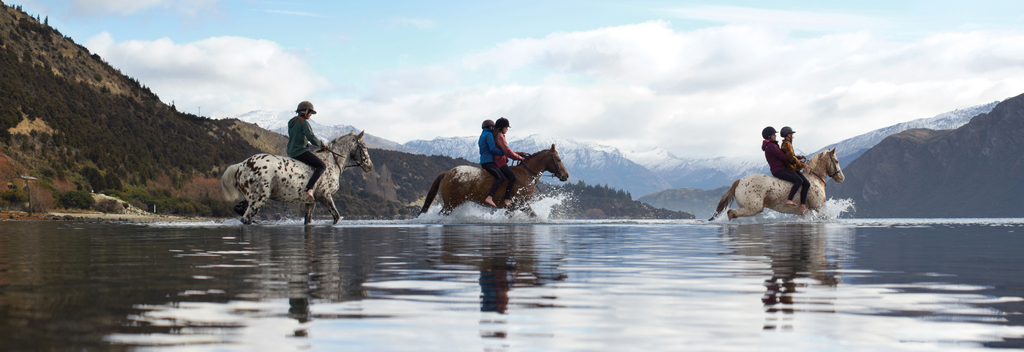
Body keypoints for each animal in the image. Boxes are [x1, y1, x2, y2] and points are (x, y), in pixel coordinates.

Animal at [222, 130, 374, 224]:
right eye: (363, 147)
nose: (369, 166)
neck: (332, 162)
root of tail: (241, 165)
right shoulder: (325, 196)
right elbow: (336, 217)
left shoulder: (311, 201)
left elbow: (308, 221)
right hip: (258, 199)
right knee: (246, 218)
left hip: (249, 197)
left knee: (239, 211)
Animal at [419, 143, 573, 215]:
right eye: (558, 159)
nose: (566, 175)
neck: (526, 174)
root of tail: (447, 172)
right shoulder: (520, 204)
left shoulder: (515, 207)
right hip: (450, 205)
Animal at [708, 147, 843, 220]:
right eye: (836, 161)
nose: (841, 177)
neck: (814, 180)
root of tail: (740, 180)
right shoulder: (819, 208)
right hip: (753, 208)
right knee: (731, 213)